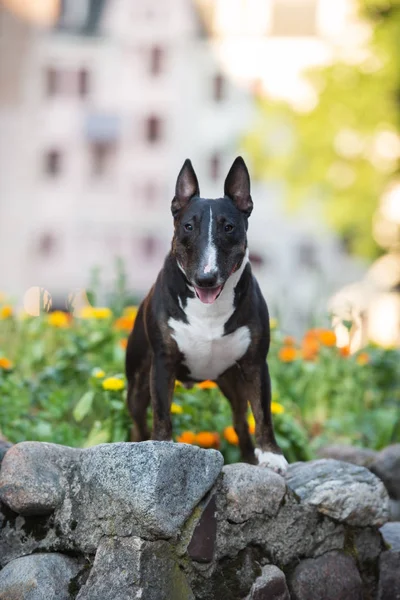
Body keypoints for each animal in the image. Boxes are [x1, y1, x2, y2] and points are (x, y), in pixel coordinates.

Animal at [125, 156, 288, 474]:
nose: (206, 278)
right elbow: (161, 412)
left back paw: (249, 458)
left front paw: (272, 455)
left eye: (229, 227)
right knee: (138, 422)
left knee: (240, 423)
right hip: (136, 383)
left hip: (234, 383)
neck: (209, 308)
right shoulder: (163, 362)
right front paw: (162, 446)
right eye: (188, 226)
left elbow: (263, 413)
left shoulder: (255, 364)